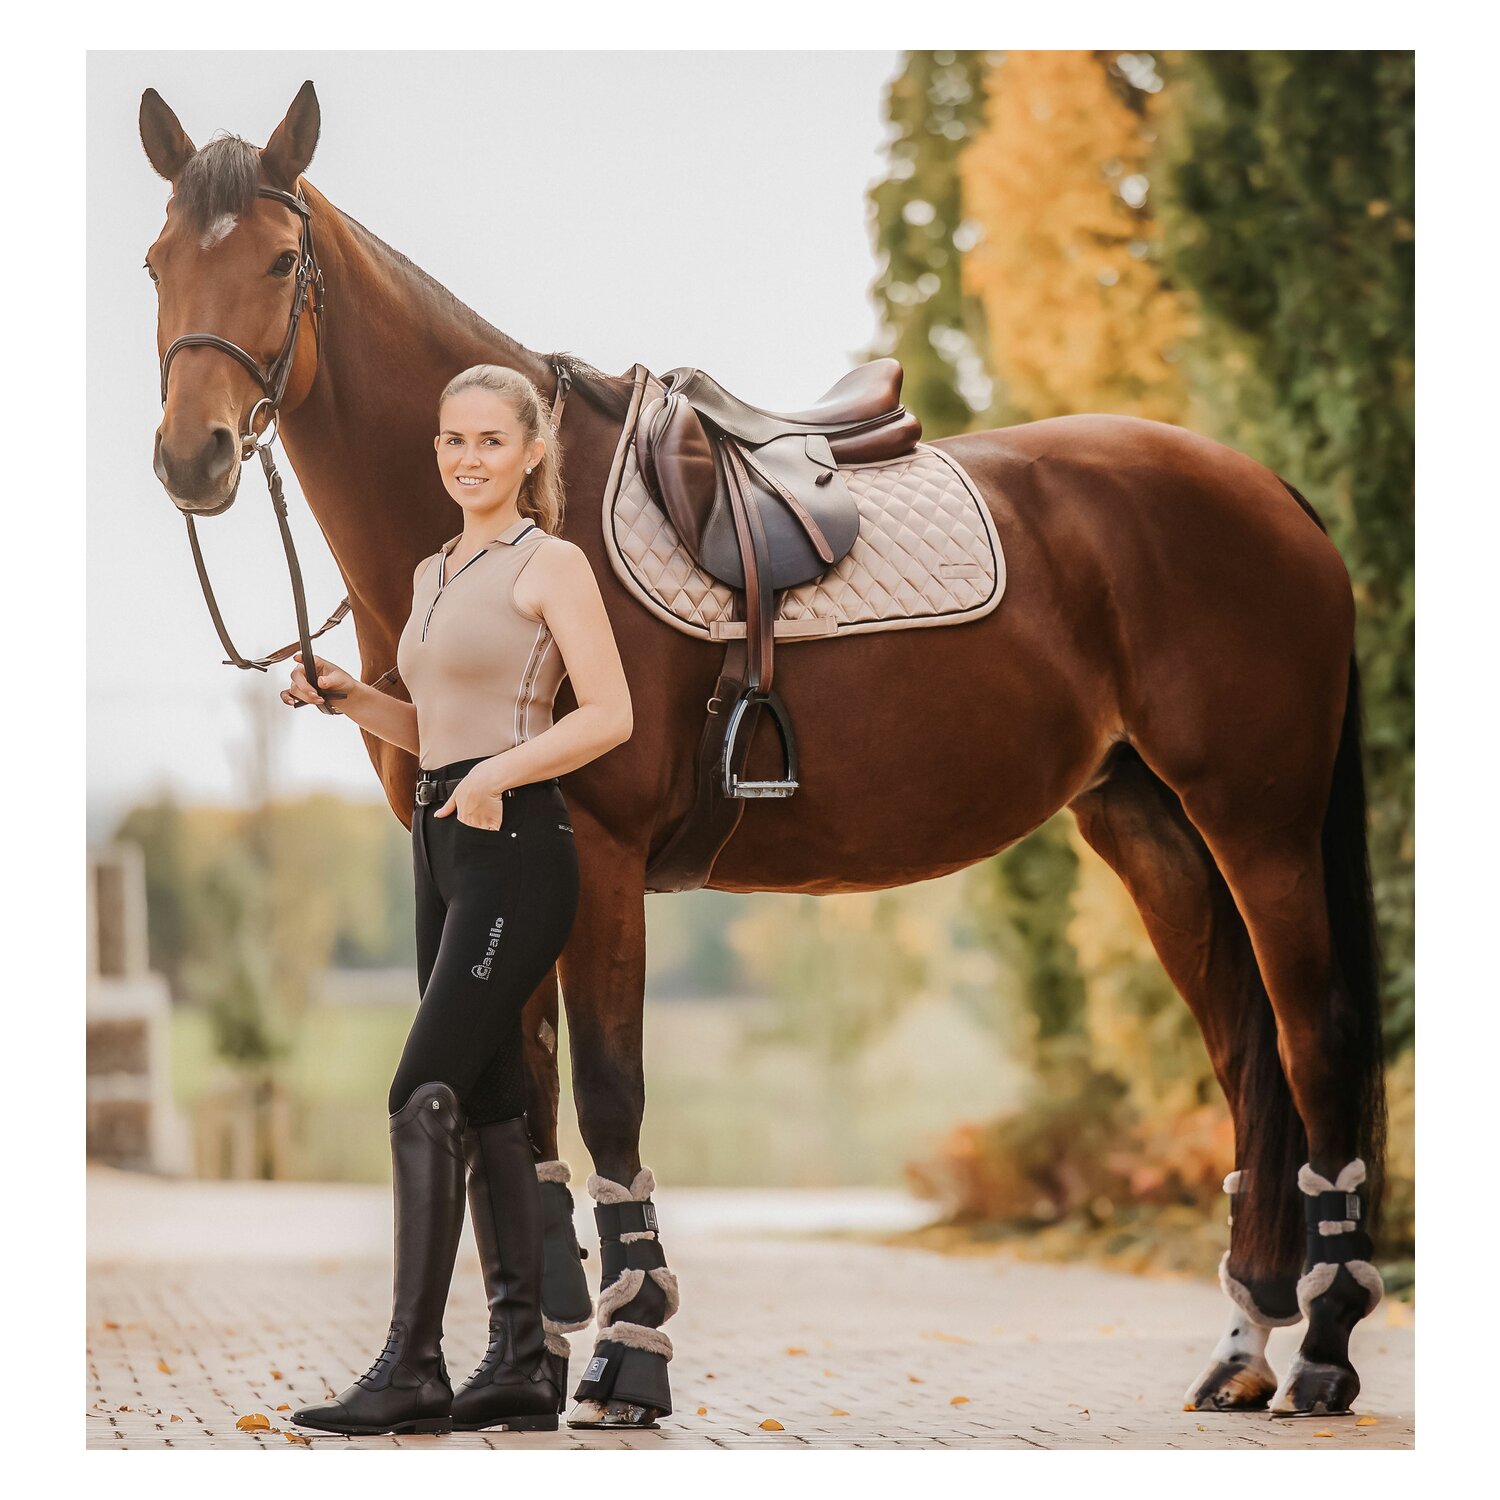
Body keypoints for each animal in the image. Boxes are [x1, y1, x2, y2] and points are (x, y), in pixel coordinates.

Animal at [139, 81, 1388, 1426]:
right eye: (158, 261)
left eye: (279, 261)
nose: (194, 458)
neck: (524, 520)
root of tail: (1272, 490)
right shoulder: (505, 872)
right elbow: (518, 1114)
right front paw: (525, 1372)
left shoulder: (600, 865)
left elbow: (611, 1097)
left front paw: (628, 1359)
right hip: (1151, 828)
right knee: (1248, 1057)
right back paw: (1242, 1347)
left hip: (1258, 825)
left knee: (1312, 1044)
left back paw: (1324, 1348)